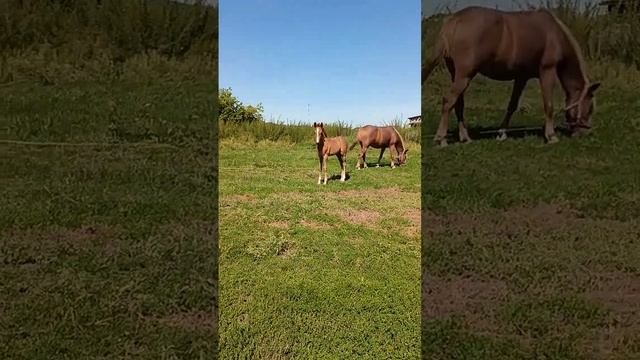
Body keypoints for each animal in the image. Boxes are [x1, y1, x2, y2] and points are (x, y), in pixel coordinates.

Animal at [424, 6, 600, 146]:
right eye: (590, 107)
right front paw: (551, 136)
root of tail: (454, 21)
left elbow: (512, 105)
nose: (586, 132)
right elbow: (548, 105)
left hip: (458, 75)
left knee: (458, 104)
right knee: (448, 101)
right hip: (465, 75)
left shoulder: (521, 77)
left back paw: (465, 138)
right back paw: (441, 139)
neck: (555, 33)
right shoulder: (547, 71)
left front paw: (501, 134)